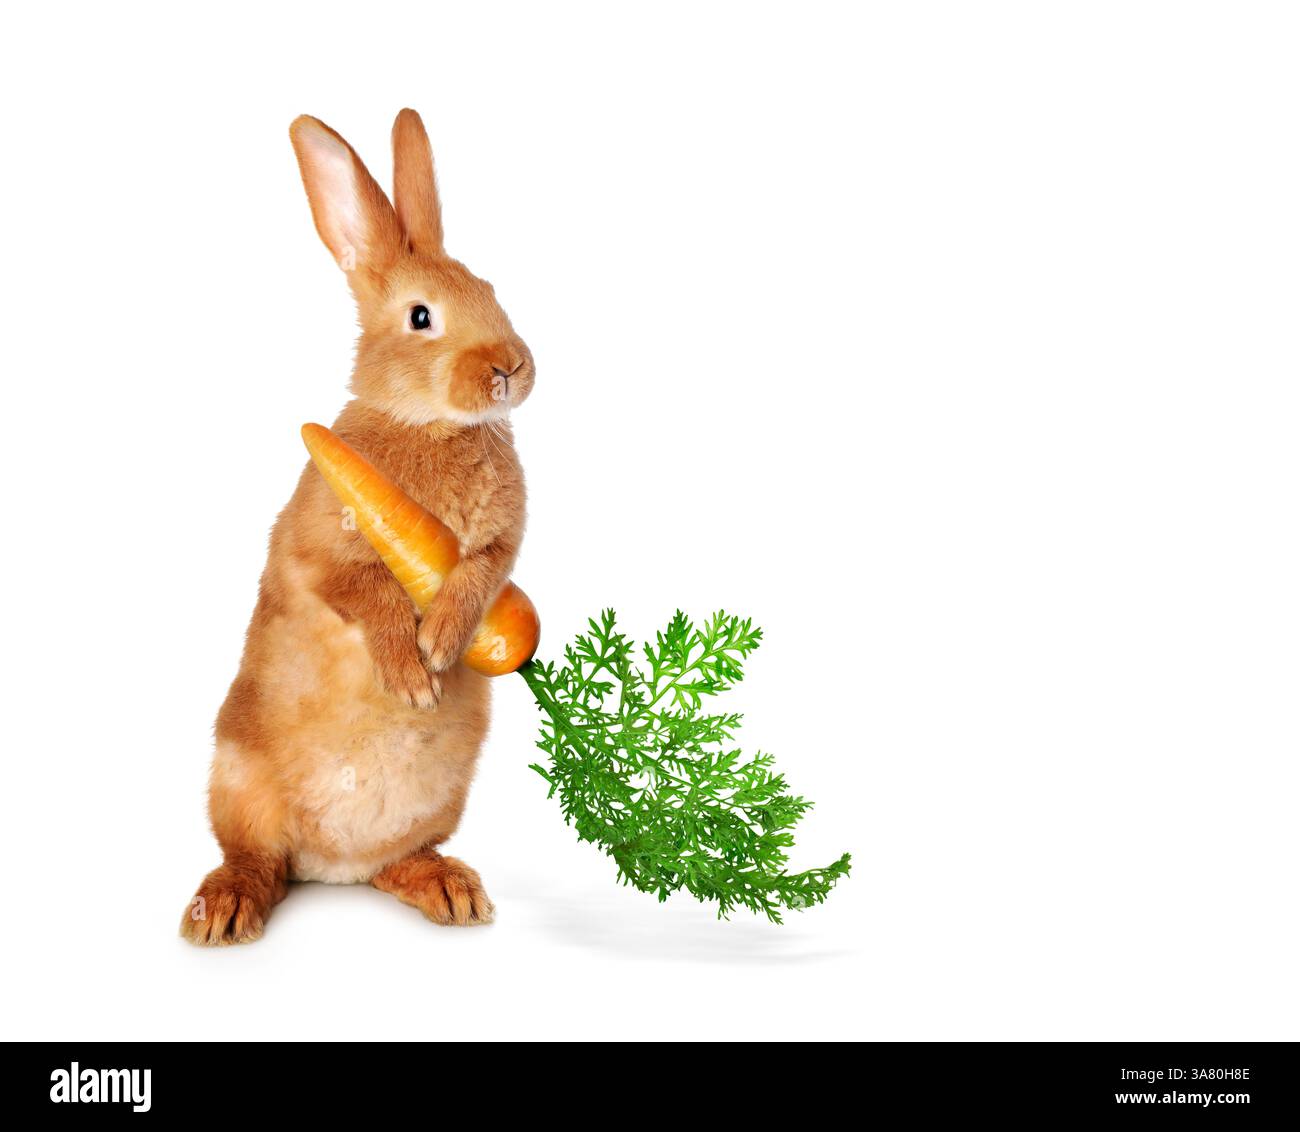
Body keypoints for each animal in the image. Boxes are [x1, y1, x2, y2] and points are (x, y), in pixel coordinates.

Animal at [180, 109, 534, 944]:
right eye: (420, 316)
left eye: (490, 289)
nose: (510, 366)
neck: (429, 422)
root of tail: (330, 867)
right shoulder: (316, 549)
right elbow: (364, 590)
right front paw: (413, 671)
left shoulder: (502, 546)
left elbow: (478, 573)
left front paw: (443, 640)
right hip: (238, 779)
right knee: (254, 858)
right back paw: (225, 909)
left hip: (438, 804)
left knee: (397, 861)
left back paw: (448, 889)